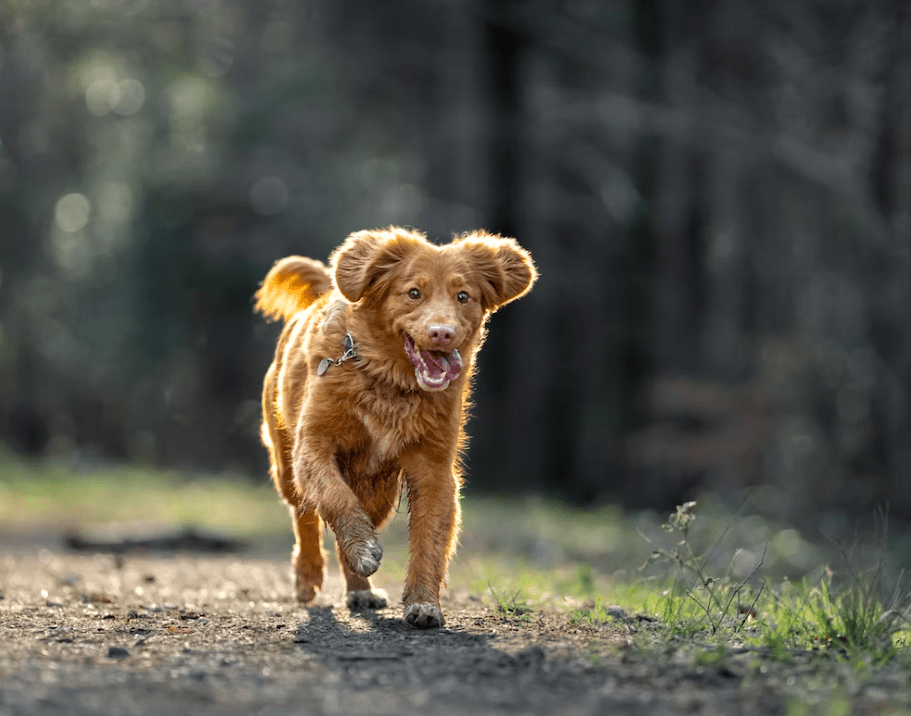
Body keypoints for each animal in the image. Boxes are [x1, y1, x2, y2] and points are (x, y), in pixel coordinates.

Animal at [253, 228, 536, 628]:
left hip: (380, 492)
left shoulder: (434, 469)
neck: (391, 383)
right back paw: (308, 577)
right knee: (304, 516)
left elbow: (430, 539)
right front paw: (361, 548)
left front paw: (424, 603)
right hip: (285, 464)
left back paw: (360, 590)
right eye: (413, 293)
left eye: (463, 296)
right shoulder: (314, 445)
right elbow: (334, 497)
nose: (442, 333)